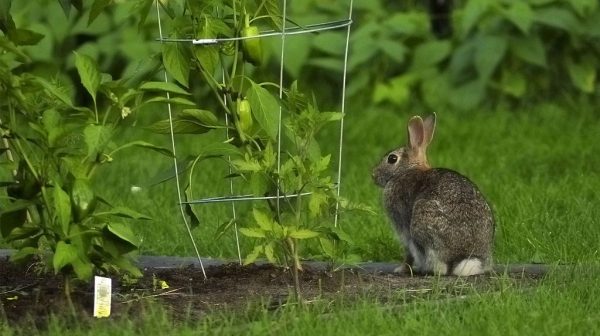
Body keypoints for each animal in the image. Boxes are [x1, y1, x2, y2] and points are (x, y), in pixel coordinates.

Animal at [372, 113, 494, 276]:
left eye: (392, 159)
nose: (373, 175)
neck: (408, 170)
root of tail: (463, 257)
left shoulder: (403, 227)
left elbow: (408, 252)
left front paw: (401, 269)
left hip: (421, 226)